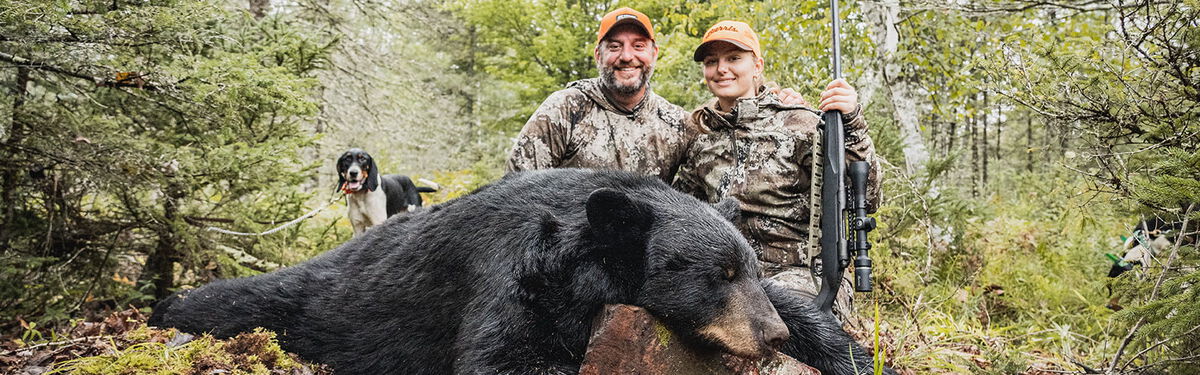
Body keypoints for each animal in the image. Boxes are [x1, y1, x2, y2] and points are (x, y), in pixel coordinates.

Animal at [147, 168, 883, 372]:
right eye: (716, 274)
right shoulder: (513, 276)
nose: (771, 338)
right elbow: (505, 356)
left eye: (748, 269)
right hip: (291, 301)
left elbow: (805, 306)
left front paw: (848, 354)